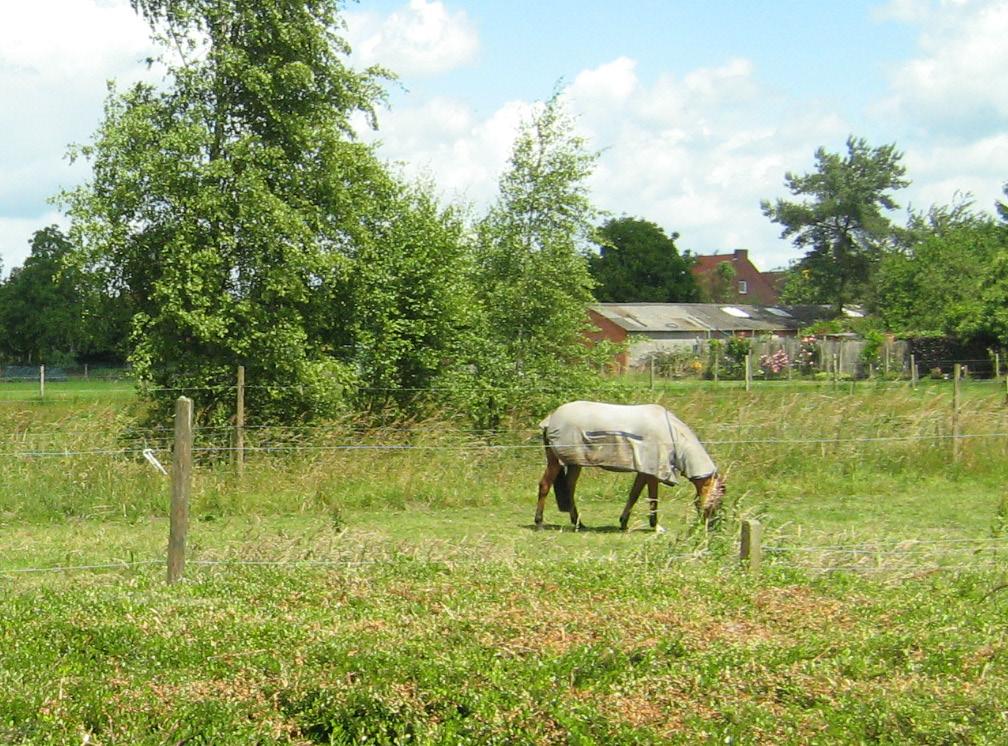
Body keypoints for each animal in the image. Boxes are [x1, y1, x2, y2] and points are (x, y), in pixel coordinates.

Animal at [536, 401, 725, 532]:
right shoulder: (654, 471)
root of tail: (551, 418)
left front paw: (624, 522)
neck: (673, 436)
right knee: (545, 485)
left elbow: (634, 495)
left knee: (569, 490)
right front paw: (656, 527)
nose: (712, 526)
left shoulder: (644, 472)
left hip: (575, 463)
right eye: (718, 498)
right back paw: (539, 522)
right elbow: (653, 499)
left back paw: (578, 523)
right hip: (556, 462)